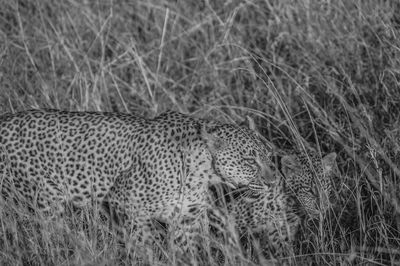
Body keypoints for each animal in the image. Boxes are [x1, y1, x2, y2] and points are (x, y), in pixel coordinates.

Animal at [0, 109, 276, 256]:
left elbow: (185, 251)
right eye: (250, 161)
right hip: (45, 202)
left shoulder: (187, 218)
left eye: (268, 155)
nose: (272, 182)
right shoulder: (126, 203)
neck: (203, 171)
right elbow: (144, 244)